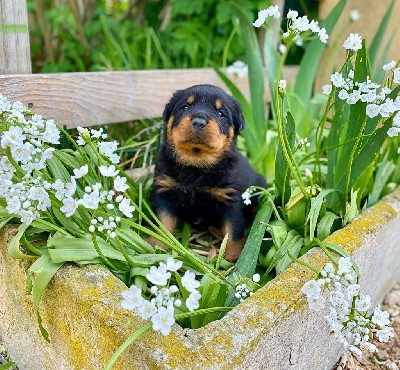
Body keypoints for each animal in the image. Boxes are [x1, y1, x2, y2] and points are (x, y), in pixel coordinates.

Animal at [150, 85, 266, 262]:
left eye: (221, 113)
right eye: (185, 107)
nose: (199, 121)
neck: (196, 165)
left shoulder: (230, 199)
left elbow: (233, 230)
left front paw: (234, 256)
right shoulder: (163, 191)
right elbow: (162, 221)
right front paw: (158, 243)